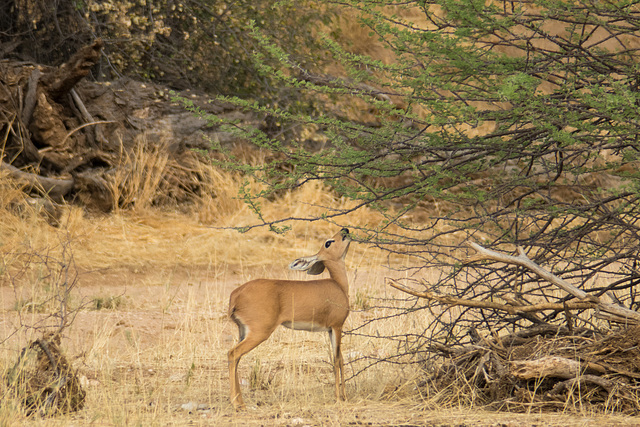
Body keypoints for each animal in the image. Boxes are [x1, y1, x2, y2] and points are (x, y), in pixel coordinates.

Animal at [228, 229, 352, 410]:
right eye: (328, 242)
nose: (345, 231)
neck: (338, 285)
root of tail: (236, 294)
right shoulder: (337, 326)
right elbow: (336, 360)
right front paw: (338, 398)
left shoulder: (330, 329)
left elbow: (341, 359)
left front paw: (344, 396)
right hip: (259, 333)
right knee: (233, 354)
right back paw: (236, 403)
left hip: (243, 331)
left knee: (236, 358)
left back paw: (241, 402)